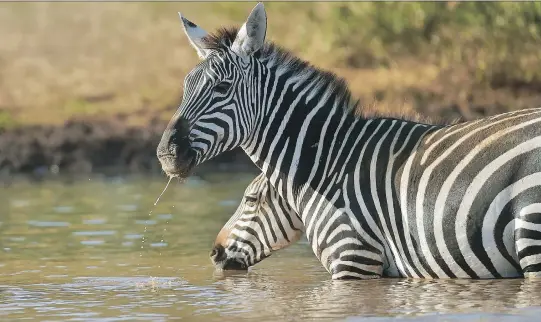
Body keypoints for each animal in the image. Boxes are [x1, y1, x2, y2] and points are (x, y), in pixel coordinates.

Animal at [157, 3, 541, 280]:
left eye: (222, 88)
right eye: (185, 88)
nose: (165, 154)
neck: (326, 163)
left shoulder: (353, 259)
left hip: (532, 236)